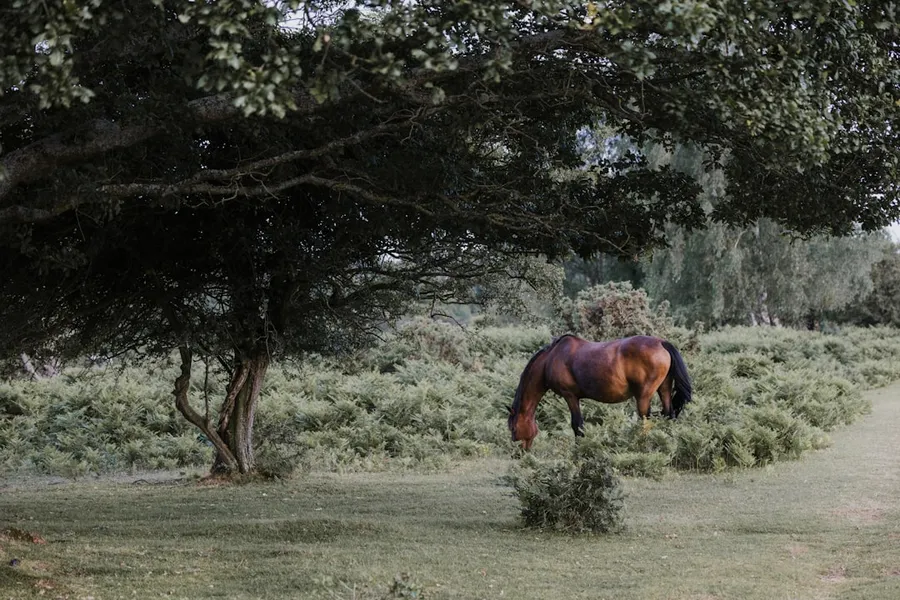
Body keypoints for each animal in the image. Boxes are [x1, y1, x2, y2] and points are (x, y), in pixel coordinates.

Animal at [507, 334, 692, 450]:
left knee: (645, 422)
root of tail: (661, 343)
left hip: (643, 396)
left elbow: (577, 425)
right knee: (668, 415)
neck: (551, 359)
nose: (521, 452)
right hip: (664, 389)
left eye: (513, 428)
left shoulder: (570, 396)